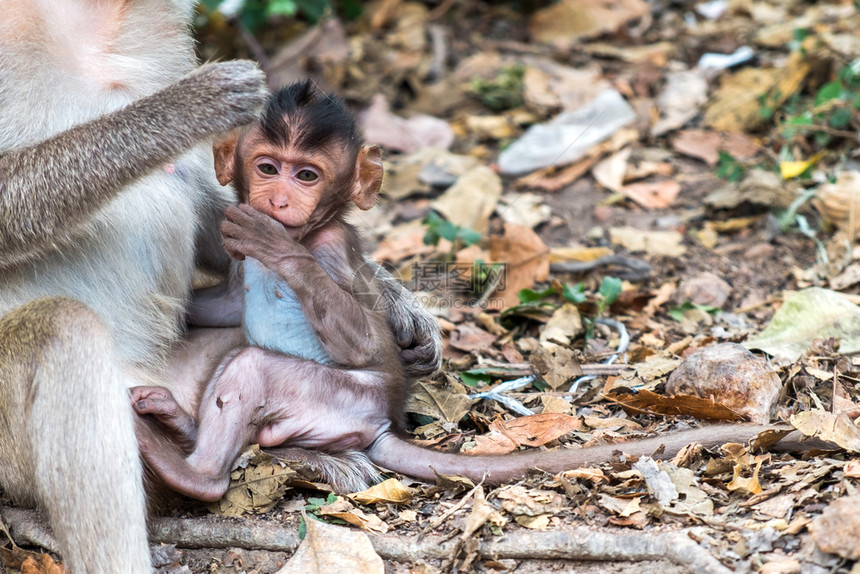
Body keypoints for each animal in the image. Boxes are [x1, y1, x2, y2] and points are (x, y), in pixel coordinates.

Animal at [133, 81, 780, 504]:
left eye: (307, 175)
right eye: (268, 167)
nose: (280, 199)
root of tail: (384, 424)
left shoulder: (331, 247)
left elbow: (360, 336)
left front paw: (281, 250)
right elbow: (227, 304)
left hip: (340, 399)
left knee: (253, 369)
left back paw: (195, 474)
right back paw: (180, 426)